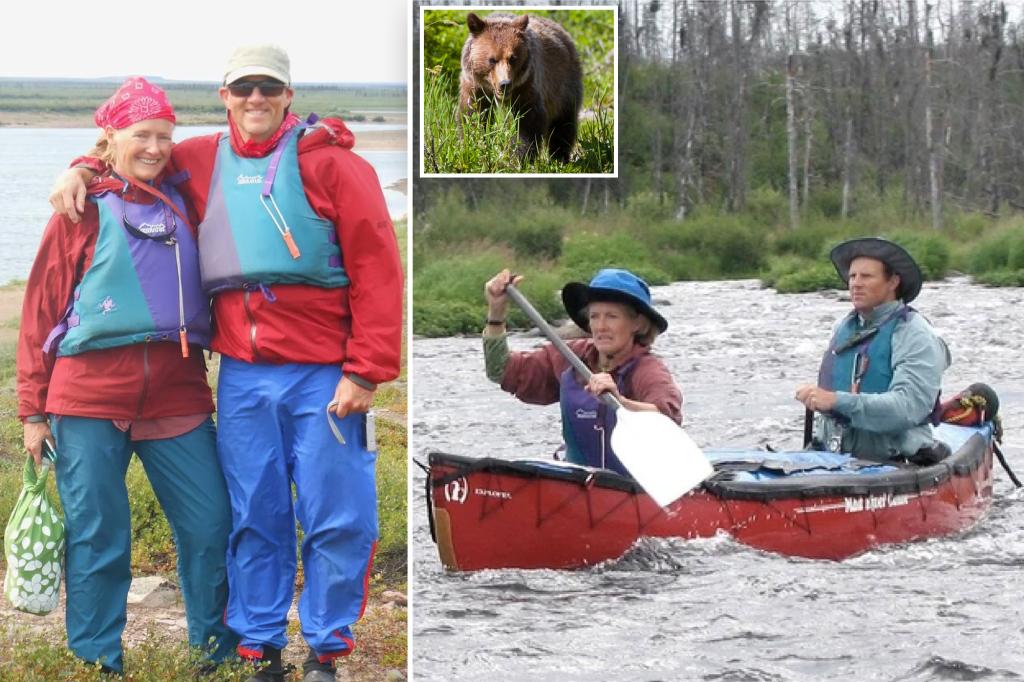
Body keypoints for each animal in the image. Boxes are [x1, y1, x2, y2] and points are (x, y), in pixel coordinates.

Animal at [458, 13, 581, 163]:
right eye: (492, 59)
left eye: (512, 58)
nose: (505, 83)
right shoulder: (475, 85)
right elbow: (473, 114)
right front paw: (473, 145)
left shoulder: (526, 84)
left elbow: (527, 120)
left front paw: (520, 157)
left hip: (563, 84)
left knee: (563, 122)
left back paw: (559, 157)